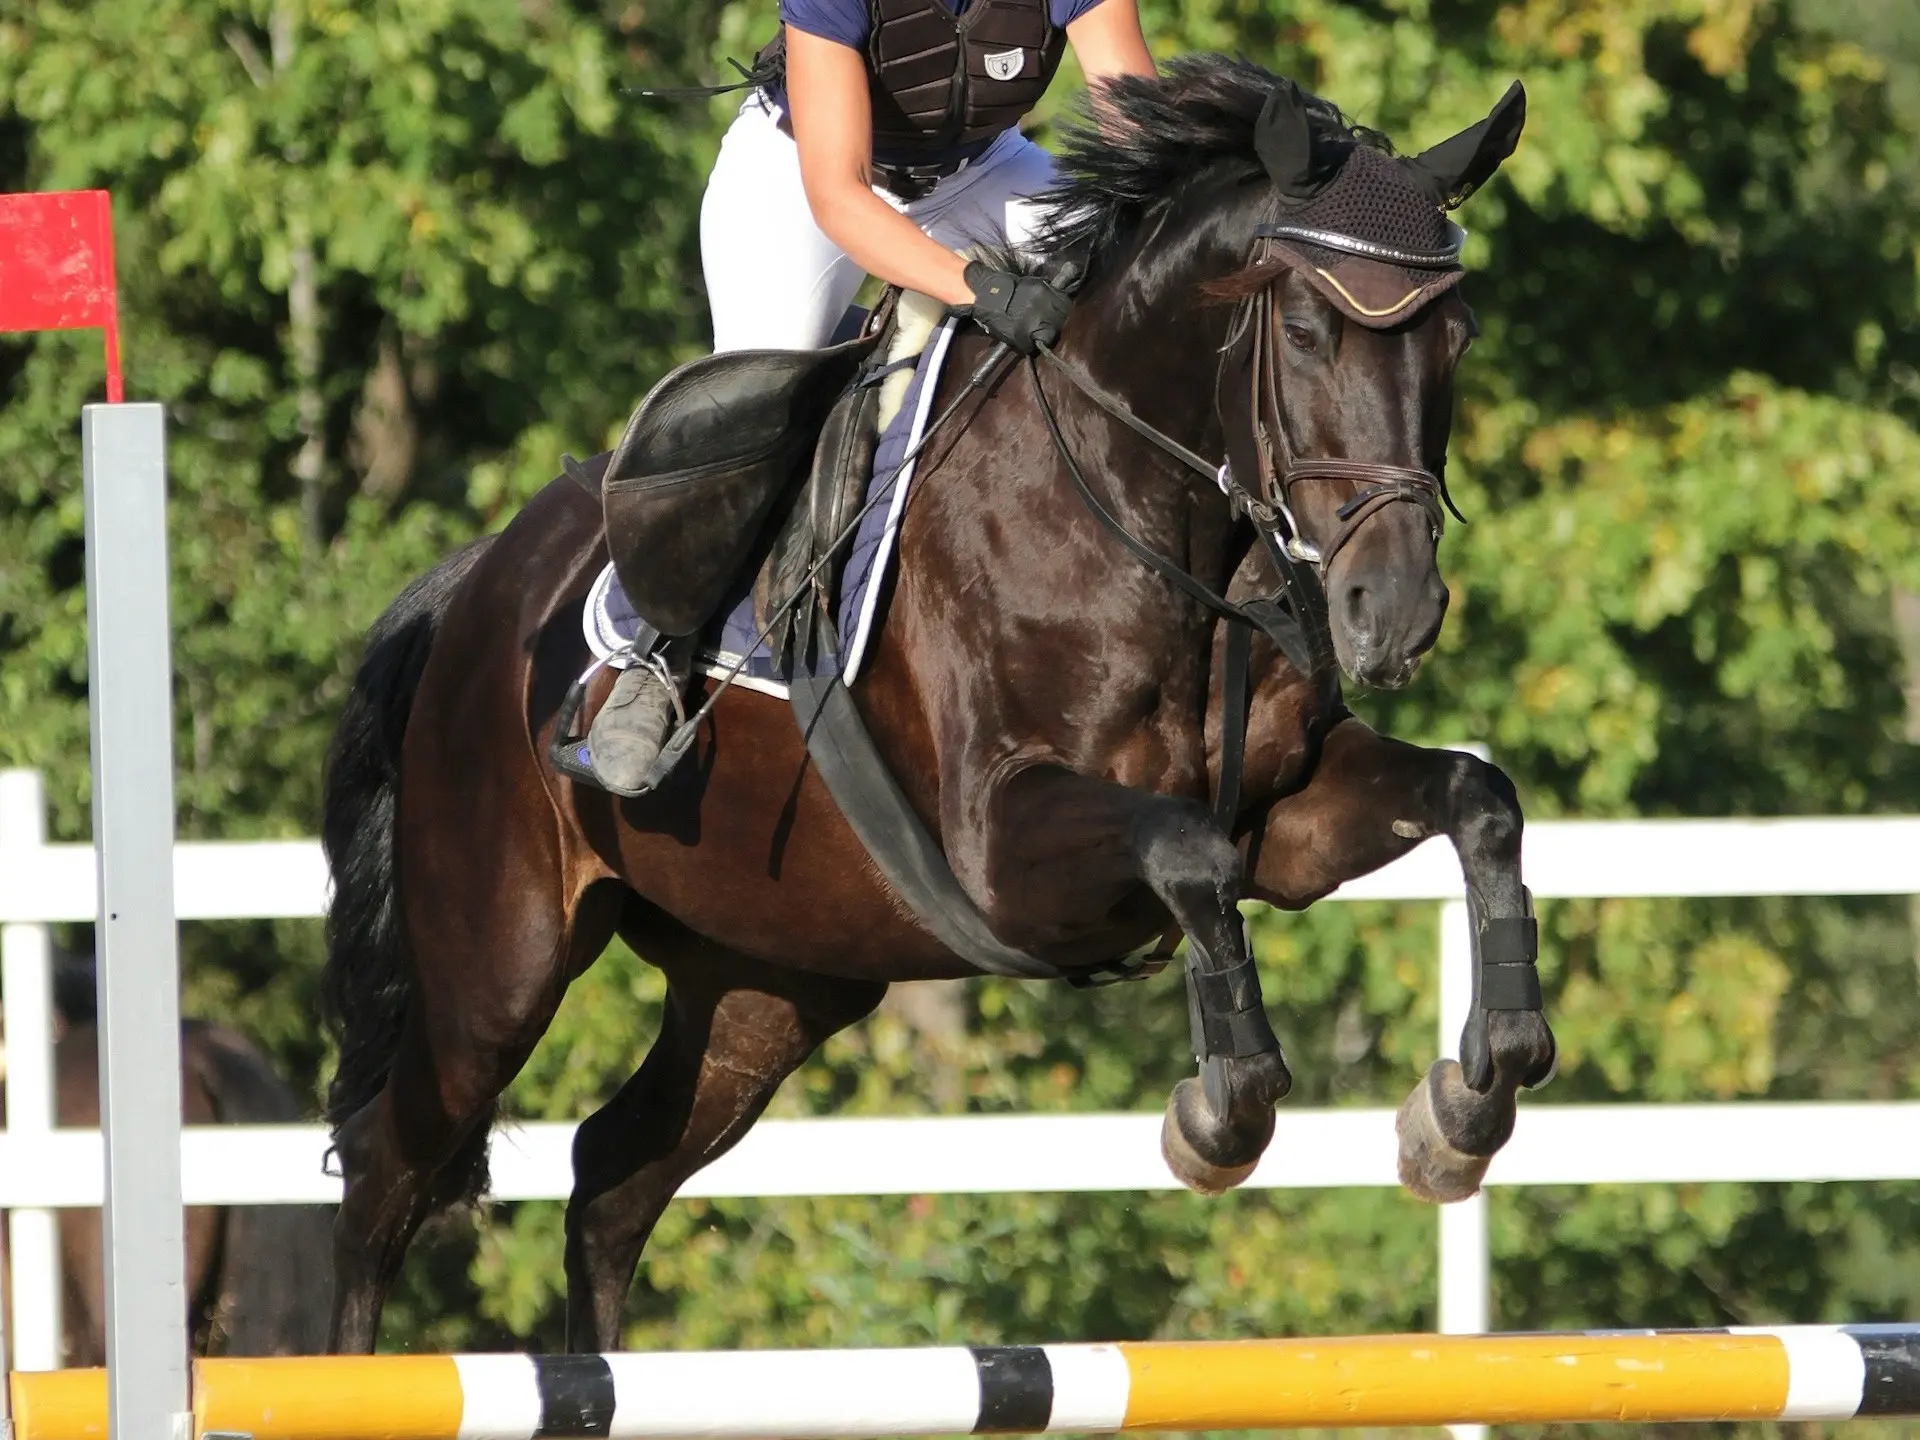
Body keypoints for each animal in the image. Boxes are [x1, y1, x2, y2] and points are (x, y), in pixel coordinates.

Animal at [318, 56, 1559, 1359]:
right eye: (1312, 330)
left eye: (1458, 337)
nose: (1396, 610)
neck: (1151, 523)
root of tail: (479, 584)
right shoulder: (1003, 859)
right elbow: (1190, 854)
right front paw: (1222, 1118)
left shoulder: (1293, 818)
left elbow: (1476, 798)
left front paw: (1472, 1101)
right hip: (495, 970)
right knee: (388, 1168)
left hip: (768, 981)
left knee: (613, 1179)